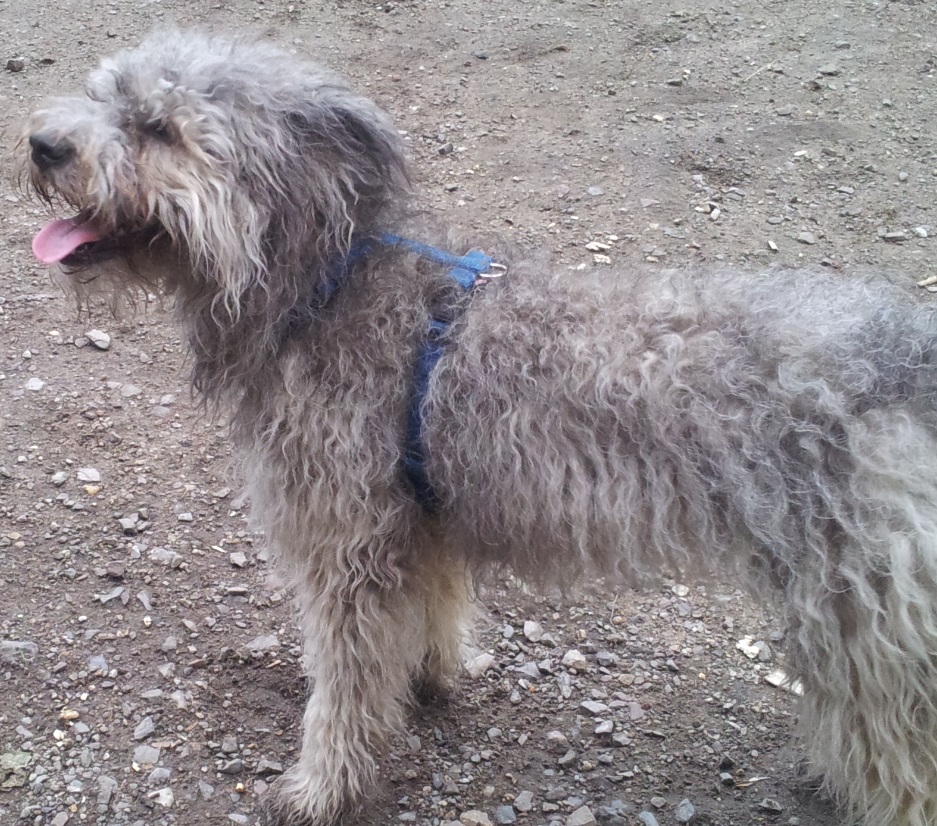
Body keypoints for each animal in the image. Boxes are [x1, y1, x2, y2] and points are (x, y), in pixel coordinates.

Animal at [20, 27, 936, 824]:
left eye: (157, 129)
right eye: (102, 94)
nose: (41, 143)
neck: (328, 286)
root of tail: (906, 356)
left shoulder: (344, 545)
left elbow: (344, 681)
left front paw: (321, 786)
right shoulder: (416, 517)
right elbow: (433, 610)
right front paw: (432, 678)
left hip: (869, 622)